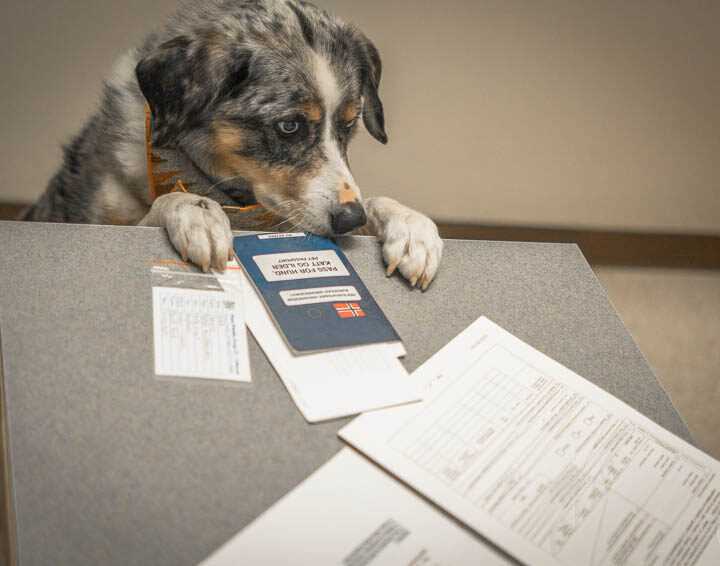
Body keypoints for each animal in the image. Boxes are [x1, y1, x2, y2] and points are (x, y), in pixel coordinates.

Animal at [22, 0, 442, 290]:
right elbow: (170, 200)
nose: (350, 219)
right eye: (289, 126)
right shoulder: (101, 223)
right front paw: (196, 214)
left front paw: (412, 230)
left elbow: (378, 201)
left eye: (350, 123)